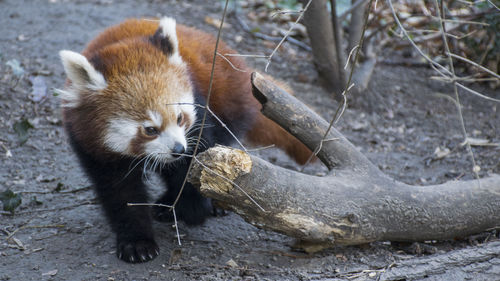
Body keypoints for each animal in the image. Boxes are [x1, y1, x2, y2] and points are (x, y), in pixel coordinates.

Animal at [59, 17, 312, 262]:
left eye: (180, 117)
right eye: (150, 129)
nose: (178, 149)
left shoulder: (200, 112)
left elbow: (197, 163)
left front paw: (192, 208)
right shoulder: (90, 144)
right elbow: (119, 193)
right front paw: (136, 242)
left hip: (228, 101)